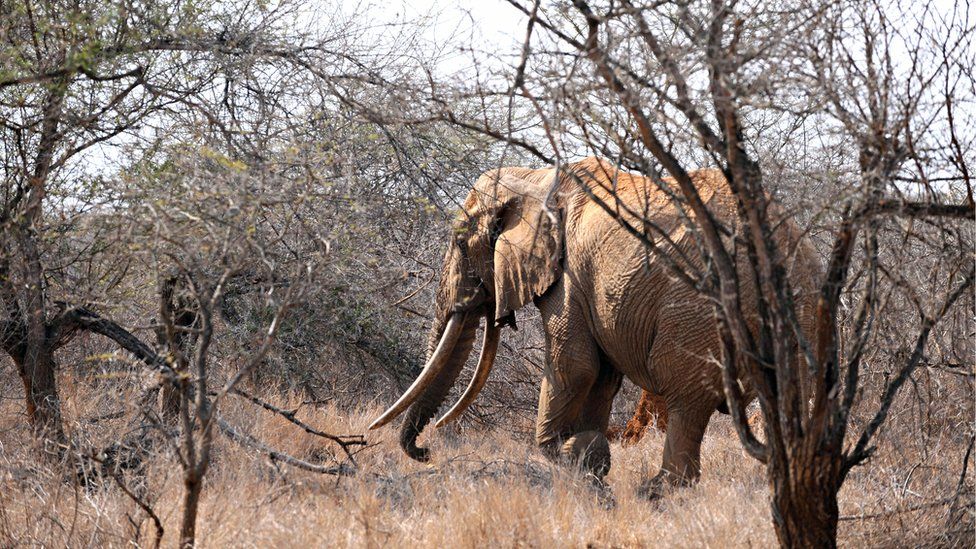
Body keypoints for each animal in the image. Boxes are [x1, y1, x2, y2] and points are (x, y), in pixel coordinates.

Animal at [370, 156, 820, 494]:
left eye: (461, 244)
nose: (425, 451)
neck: (532, 178)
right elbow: (602, 378)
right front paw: (590, 462)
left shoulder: (568, 277)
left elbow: (576, 368)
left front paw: (577, 453)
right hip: (800, 312)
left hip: (696, 311)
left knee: (684, 396)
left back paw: (656, 491)